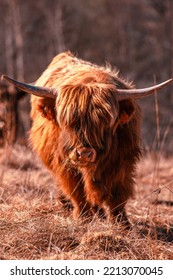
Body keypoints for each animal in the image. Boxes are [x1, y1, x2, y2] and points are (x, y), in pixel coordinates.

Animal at [2, 52, 172, 225]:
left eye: (104, 123)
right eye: (67, 121)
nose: (84, 154)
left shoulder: (123, 160)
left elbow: (118, 193)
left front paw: (122, 223)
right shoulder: (64, 162)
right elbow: (77, 190)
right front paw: (83, 217)